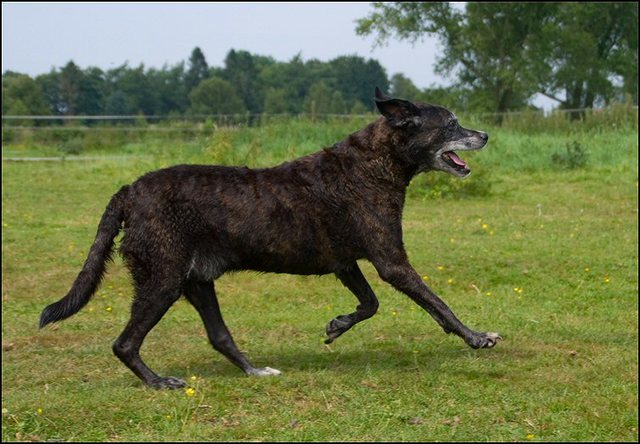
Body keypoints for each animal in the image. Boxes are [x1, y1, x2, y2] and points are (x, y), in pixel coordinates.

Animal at [38, 87, 500, 388]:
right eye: (452, 123)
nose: (485, 135)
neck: (373, 163)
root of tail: (128, 191)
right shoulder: (391, 262)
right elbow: (438, 304)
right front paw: (477, 337)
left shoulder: (346, 263)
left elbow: (369, 303)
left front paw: (337, 325)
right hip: (161, 280)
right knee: (125, 343)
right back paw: (158, 382)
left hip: (196, 282)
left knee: (219, 336)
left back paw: (255, 371)